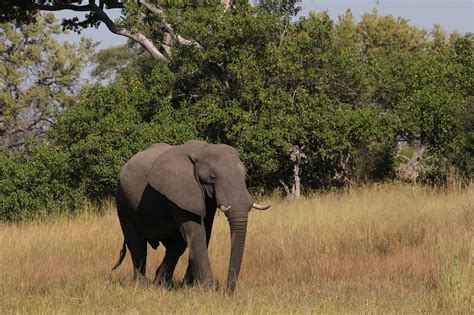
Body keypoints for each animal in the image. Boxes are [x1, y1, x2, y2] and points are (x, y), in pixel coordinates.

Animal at [109, 141, 268, 294]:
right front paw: (208, 289)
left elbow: (205, 232)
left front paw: (191, 286)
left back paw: (161, 284)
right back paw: (141, 286)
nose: (228, 292)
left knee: (176, 247)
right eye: (212, 177)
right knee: (137, 244)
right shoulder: (181, 190)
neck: (202, 150)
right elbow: (197, 233)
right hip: (124, 201)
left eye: (244, 175)